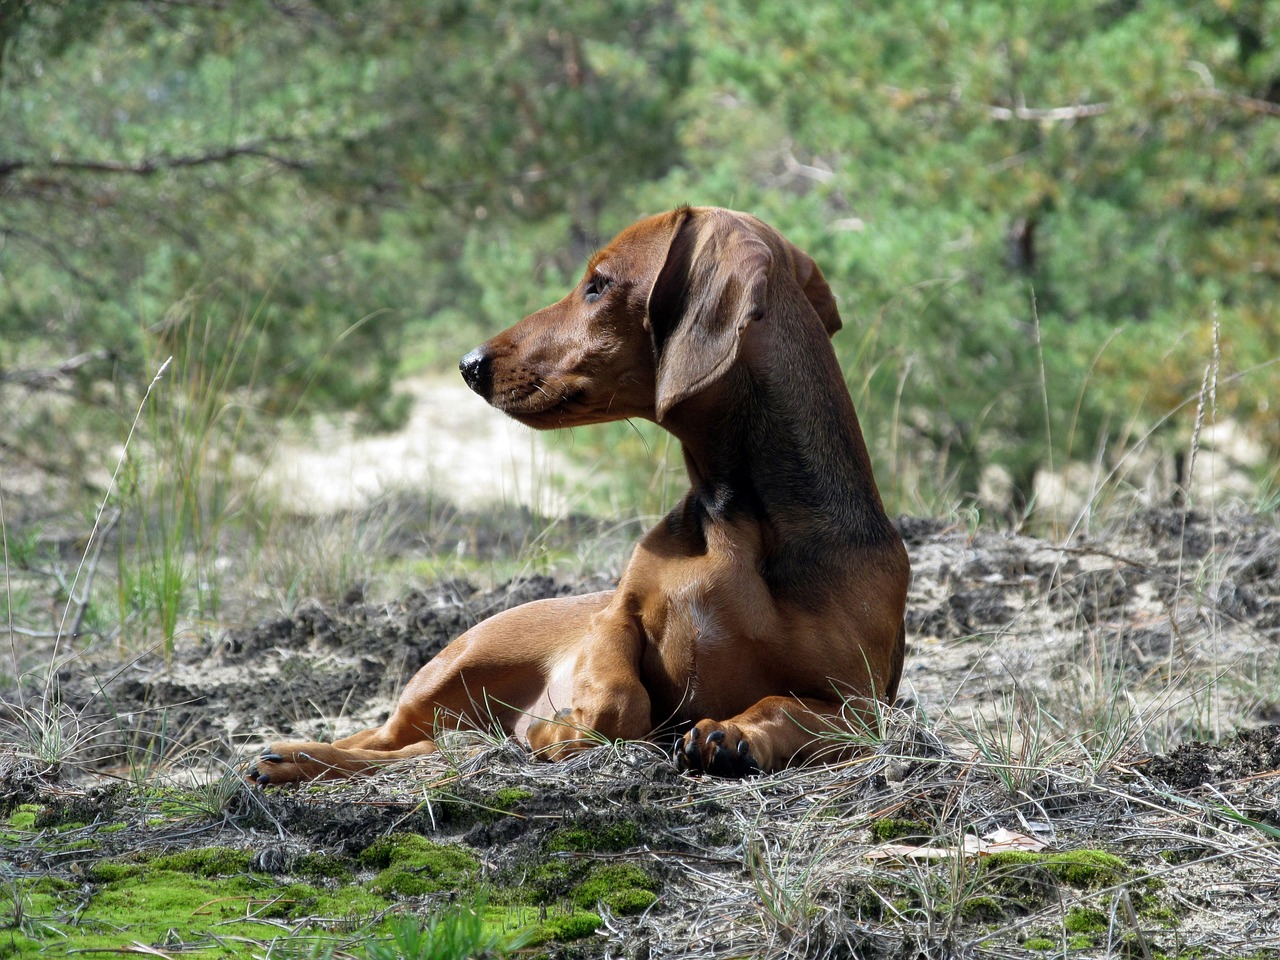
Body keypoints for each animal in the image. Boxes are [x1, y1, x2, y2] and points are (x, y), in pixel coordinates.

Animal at [249, 207, 906, 783]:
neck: (735, 523)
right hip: (453, 667)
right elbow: (619, 701)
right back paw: (293, 757)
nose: (469, 364)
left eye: (598, 285)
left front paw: (734, 735)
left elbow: (788, 707)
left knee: (418, 751)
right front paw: (562, 728)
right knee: (381, 740)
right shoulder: (615, 618)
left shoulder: (864, 705)